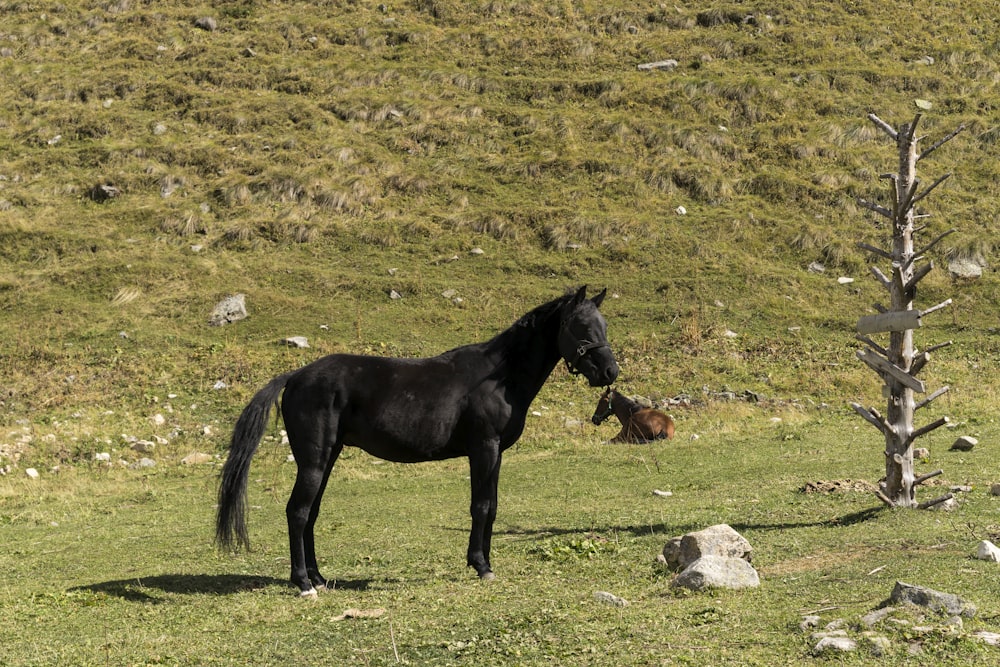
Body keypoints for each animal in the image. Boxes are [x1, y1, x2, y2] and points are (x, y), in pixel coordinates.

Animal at [219, 284, 616, 596]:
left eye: (604, 325)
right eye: (580, 327)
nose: (610, 372)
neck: (499, 378)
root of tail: (295, 376)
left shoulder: (496, 454)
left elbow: (492, 506)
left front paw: (485, 562)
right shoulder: (483, 449)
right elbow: (480, 506)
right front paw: (481, 565)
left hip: (327, 459)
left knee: (311, 513)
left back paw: (318, 578)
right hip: (314, 462)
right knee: (297, 512)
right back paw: (303, 583)